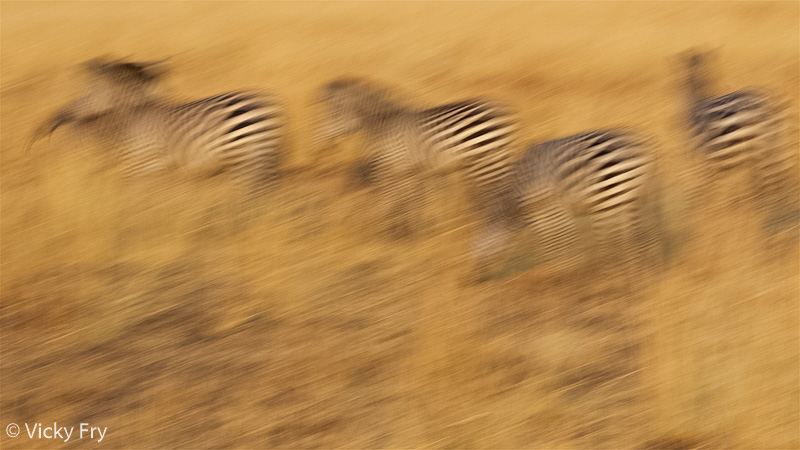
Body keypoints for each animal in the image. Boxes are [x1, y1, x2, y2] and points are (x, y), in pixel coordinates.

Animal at [27, 57, 285, 197]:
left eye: (89, 90)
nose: (58, 118)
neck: (128, 116)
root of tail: (268, 104)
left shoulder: (136, 167)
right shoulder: (153, 170)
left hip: (243, 156)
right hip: (261, 156)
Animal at [314, 78, 519, 278]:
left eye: (334, 113)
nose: (325, 140)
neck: (383, 123)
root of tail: (502, 110)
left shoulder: (395, 169)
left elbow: (389, 203)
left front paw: (379, 232)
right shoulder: (413, 172)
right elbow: (414, 203)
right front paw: (414, 236)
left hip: (483, 161)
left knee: (497, 203)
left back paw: (488, 255)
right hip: (495, 161)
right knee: (504, 201)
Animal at [513, 129, 662, 281]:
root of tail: (642, 143)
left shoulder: (552, 212)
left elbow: (559, 245)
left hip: (608, 199)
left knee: (614, 241)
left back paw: (615, 274)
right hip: (630, 198)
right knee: (638, 234)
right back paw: (640, 269)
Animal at [681, 50, 795, 216]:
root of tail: (771, 102)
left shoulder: (703, 162)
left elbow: (707, 193)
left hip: (760, 149)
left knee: (767, 181)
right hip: (778, 146)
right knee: (780, 177)